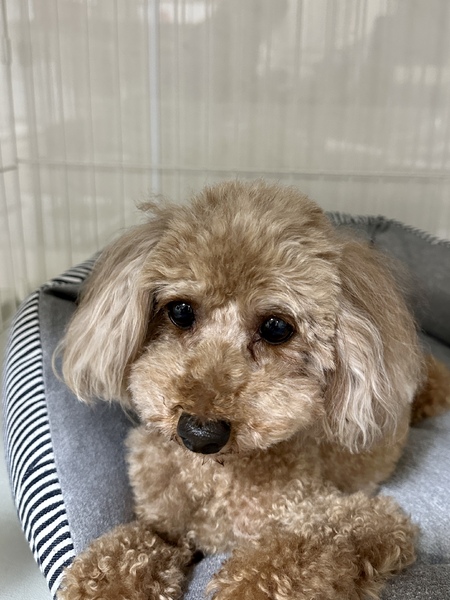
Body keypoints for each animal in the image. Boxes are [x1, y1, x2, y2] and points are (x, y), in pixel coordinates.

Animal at [57, 180, 450, 600]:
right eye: (180, 311)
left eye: (276, 328)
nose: (199, 434)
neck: (215, 476)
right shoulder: (161, 523)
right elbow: (131, 547)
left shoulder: (349, 517)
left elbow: (293, 553)